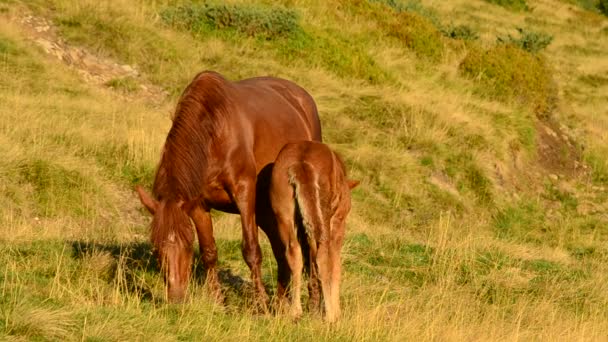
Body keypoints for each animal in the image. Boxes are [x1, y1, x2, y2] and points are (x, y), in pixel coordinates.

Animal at [135, 70, 320, 304]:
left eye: (187, 244)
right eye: (156, 247)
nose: (176, 298)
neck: (215, 132)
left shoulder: (244, 194)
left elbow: (251, 250)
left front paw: (261, 304)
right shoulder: (198, 205)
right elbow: (209, 252)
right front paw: (217, 300)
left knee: (308, 247)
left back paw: (313, 300)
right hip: (267, 210)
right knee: (281, 250)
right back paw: (281, 302)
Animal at [268, 140, 358, 322]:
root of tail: (301, 163)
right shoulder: (338, 224)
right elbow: (335, 266)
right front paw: (337, 312)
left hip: (284, 215)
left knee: (293, 253)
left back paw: (296, 311)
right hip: (323, 217)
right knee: (323, 256)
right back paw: (330, 316)